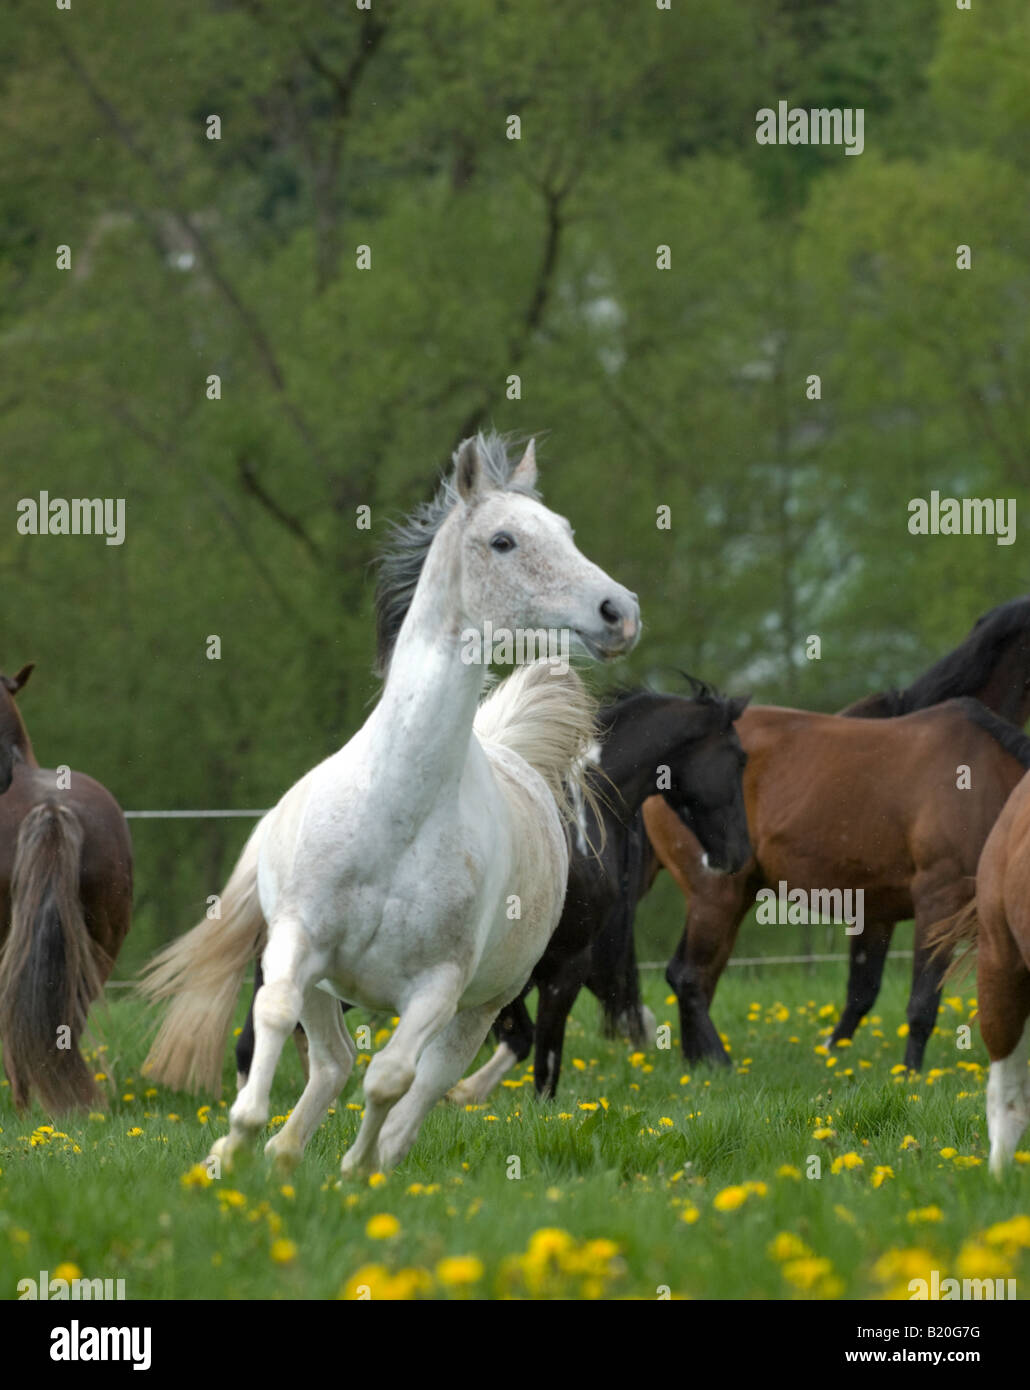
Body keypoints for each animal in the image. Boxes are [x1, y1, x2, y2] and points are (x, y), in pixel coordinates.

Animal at [140, 433, 639, 1173]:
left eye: (566, 532)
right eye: (504, 540)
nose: (619, 612)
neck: (397, 816)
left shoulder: (439, 987)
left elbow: (392, 1079)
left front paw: (354, 1170)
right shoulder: (297, 944)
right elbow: (273, 1019)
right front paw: (230, 1150)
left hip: (484, 1005)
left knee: (423, 1080)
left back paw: (361, 1159)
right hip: (330, 990)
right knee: (331, 1061)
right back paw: (281, 1153)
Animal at [444, 678, 750, 1100]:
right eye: (741, 759)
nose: (740, 852)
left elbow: (519, 1038)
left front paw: (462, 1093)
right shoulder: (565, 964)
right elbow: (542, 1063)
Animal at [642, 700, 1028, 1067]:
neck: (985, 783)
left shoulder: (878, 910)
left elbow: (861, 993)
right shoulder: (938, 904)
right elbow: (921, 1003)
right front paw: (910, 1074)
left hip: (734, 895)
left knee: (692, 975)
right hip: (716, 894)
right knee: (690, 976)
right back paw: (720, 1064)